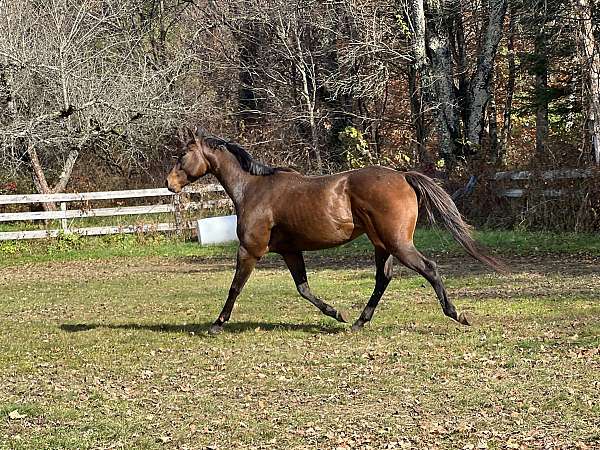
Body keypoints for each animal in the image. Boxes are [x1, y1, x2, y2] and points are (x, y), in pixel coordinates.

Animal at [165, 129, 506, 334]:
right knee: (383, 278)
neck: (253, 189)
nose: (169, 184)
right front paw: (336, 313)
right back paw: (357, 322)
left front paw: (217, 323)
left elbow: (235, 287)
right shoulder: (290, 251)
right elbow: (303, 288)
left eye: (182, 156)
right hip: (382, 244)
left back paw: (456, 314)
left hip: (397, 243)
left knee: (429, 268)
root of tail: (402, 176)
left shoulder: (250, 250)